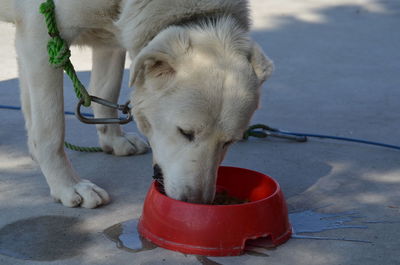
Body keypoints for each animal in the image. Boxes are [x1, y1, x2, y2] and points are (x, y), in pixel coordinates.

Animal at [0, 0, 274, 206]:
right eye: (185, 132)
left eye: (229, 142)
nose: (196, 202)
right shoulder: (41, 36)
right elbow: (51, 129)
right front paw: (68, 185)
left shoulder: (111, 37)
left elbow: (106, 91)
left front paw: (113, 141)